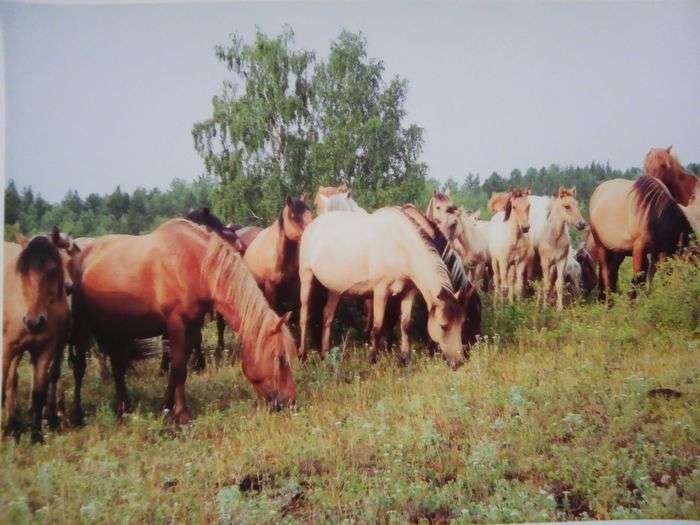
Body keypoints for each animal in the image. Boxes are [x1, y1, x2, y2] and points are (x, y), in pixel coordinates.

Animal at [3, 229, 71, 442]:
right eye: (22, 271)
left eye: (52, 270)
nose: (34, 322)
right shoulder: (6, 349)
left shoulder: (46, 349)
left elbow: (39, 391)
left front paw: (37, 436)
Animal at [72, 217, 298, 422]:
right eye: (279, 358)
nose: (290, 401)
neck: (196, 264)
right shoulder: (177, 323)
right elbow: (179, 367)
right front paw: (182, 413)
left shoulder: (192, 324)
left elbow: (178, 368)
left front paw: (166, 406)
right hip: (83, 330)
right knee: (80, 368)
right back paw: (78, 415)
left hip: (117, 331)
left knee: (118, 366)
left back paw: (124, 407)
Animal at [300, 205, 470, 368]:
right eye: (443, 326)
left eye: (461, 323)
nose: (459, 362)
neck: (399, 246)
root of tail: (313, 225)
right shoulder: (380, 291)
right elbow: (377, 327)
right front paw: (373, 360)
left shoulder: (409, 292)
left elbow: (405, 325)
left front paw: (405, 359)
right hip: (306, 276)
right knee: (304, 315)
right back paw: (303, 356)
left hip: (335, 289)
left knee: (327, 315)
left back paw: (325, 355)